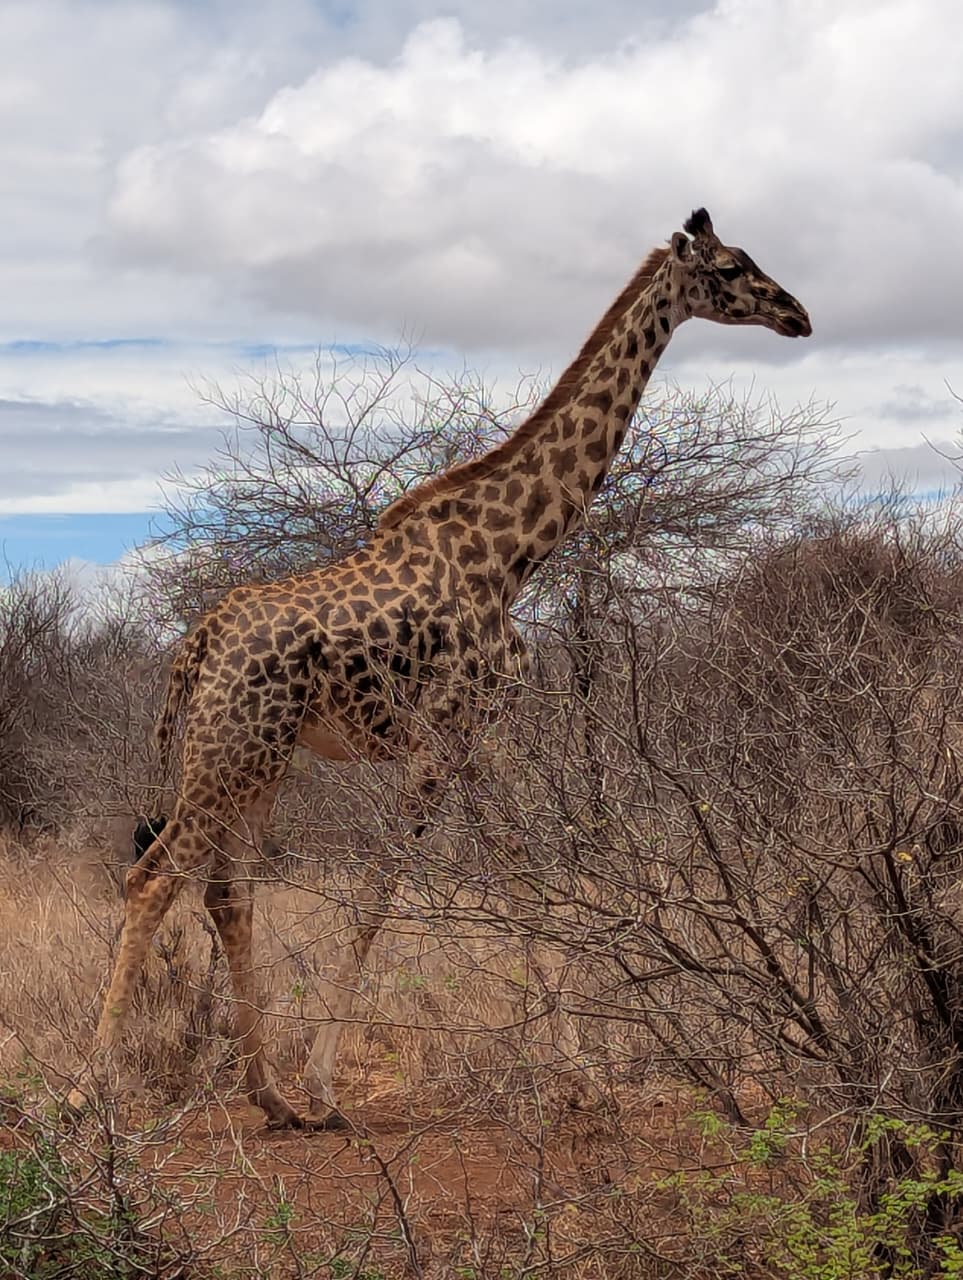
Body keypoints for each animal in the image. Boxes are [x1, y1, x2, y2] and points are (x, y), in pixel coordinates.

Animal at [67, 208, 811, 1130]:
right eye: (734, 266)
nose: (797, 315)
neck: (512, 552)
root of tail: (196, 645)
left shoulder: (481, 737)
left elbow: (523, 878)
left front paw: (583, 1075)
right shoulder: (439, 737)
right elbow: (384, 886)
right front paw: (326, 1084)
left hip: (257, 760)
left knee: (224, 893)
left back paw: (265, 1094)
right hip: (227, 754)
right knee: (151, 877)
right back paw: (93, 1087)